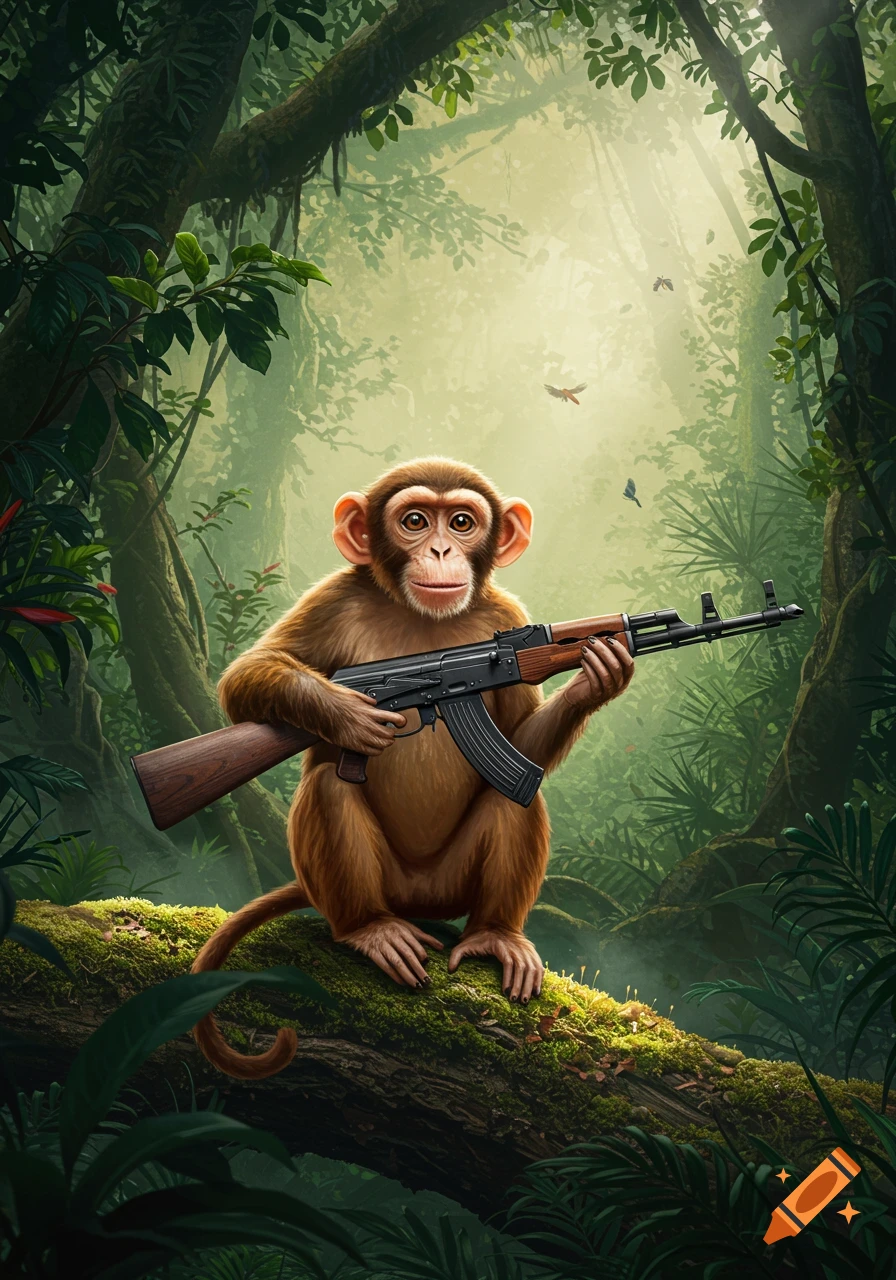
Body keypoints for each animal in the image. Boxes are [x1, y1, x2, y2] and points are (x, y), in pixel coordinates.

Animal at [191, 457, 635, 1079]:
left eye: (463, 522)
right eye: (416, 521)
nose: (442, 550)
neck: (422, 617)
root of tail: (414, 906)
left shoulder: (506, 612)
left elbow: (520, 738)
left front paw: (599, 674)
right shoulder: (332, 597)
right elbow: (244, 676)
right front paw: (350, 715)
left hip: (449, 887)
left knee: (517, 794)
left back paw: (497, 936)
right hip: (383, 885)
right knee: (331, 786)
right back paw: (371, 930)